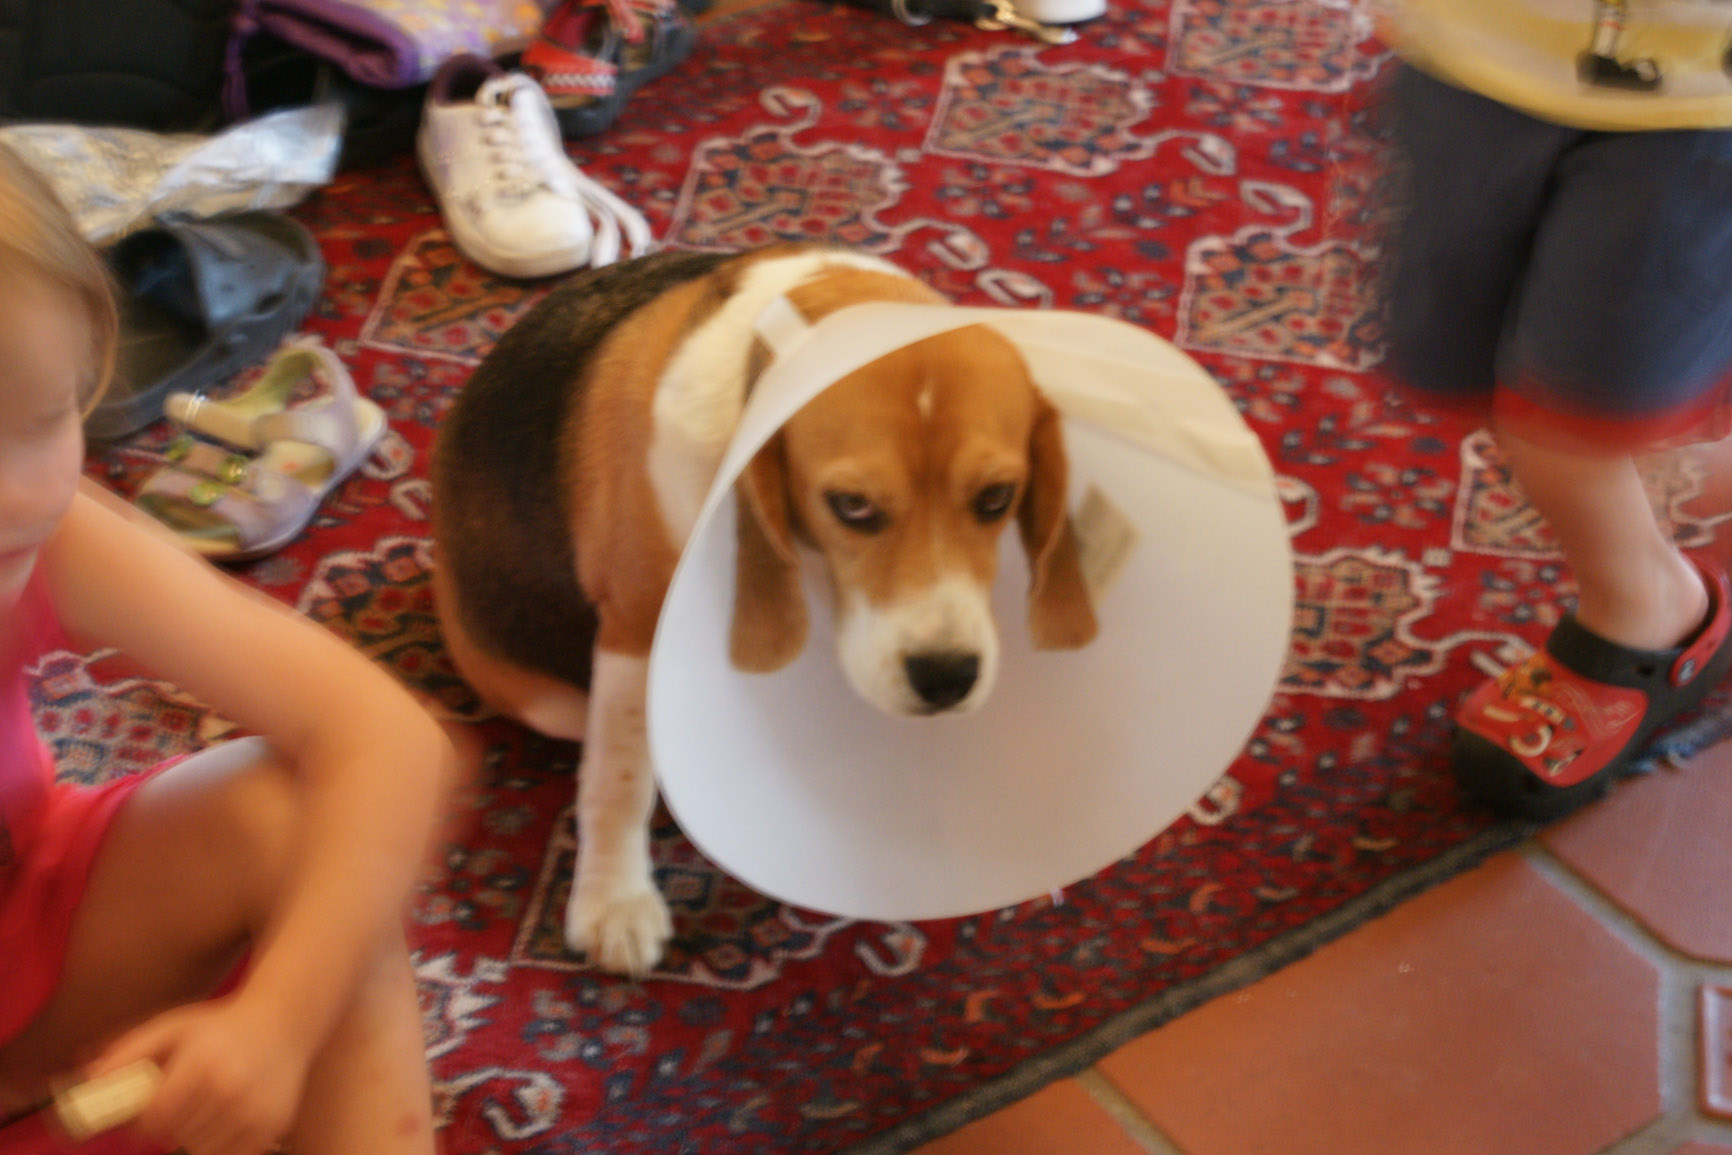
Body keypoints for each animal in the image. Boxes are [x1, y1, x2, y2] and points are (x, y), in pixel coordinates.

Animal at [431, 244, 1098, 975]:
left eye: (997, 497)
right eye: (851, 506)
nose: (947, 678)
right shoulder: (635, 626)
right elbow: (619, 780)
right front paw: (614, 902)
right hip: (547, 695)